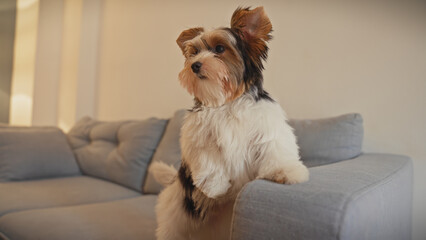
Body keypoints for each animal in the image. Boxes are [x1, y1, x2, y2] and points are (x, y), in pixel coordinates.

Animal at [153, 6, 310, 239]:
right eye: (194, 52)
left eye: (220, 48)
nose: (194, 65)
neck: (226, 101)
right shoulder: (199, 135)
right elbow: (208, 157)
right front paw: (214, 187)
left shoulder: (266, 128)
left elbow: (274, 148)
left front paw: (286, 171)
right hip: (177, 213)